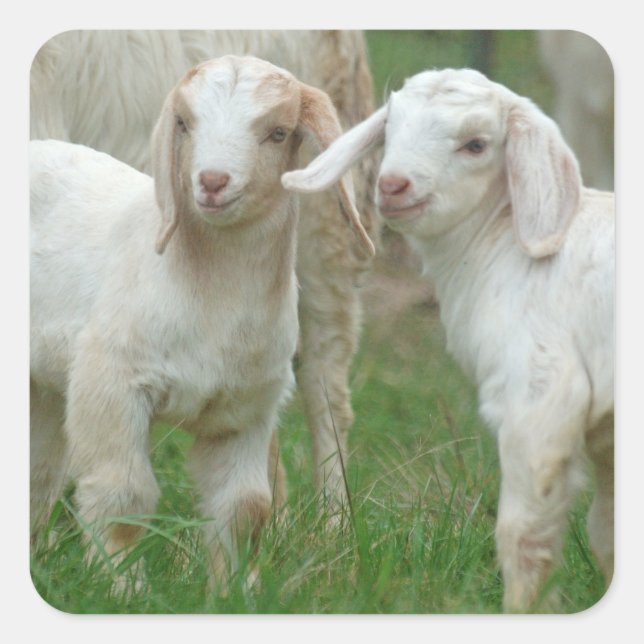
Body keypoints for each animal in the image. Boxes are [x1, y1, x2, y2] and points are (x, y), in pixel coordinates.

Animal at [30, 55, 373, 589]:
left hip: (43, 389)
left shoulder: (247, 408)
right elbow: (123, 495)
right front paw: (122, 587)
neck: (212, 299)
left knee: (36, 474)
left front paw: (235, 590)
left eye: (278, 132)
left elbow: (246, 507)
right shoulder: (111, 384)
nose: (211, 182)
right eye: (185, 124)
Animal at [282, 68, 614, 611]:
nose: (393, 184)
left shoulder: (539, 397)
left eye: (476, 144)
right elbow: (607, 532)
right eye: (391, 125)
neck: (503, 242)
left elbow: (523, 537)